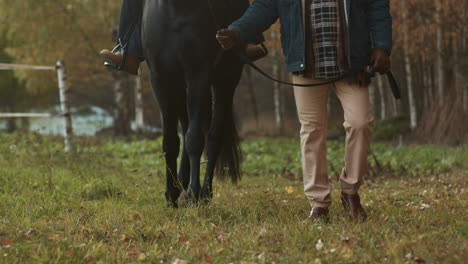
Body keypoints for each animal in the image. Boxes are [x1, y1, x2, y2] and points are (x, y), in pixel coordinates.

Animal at [141, 0, 249, 206]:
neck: (176, 10)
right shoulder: (161, 79)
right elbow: (170, 142)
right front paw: (170, 194)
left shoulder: (198, 76)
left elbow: (195, 140)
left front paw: (193, 193)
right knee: (186, 126)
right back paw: (181, 183)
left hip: (226, 80)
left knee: (213, 136)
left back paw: (204, 193)